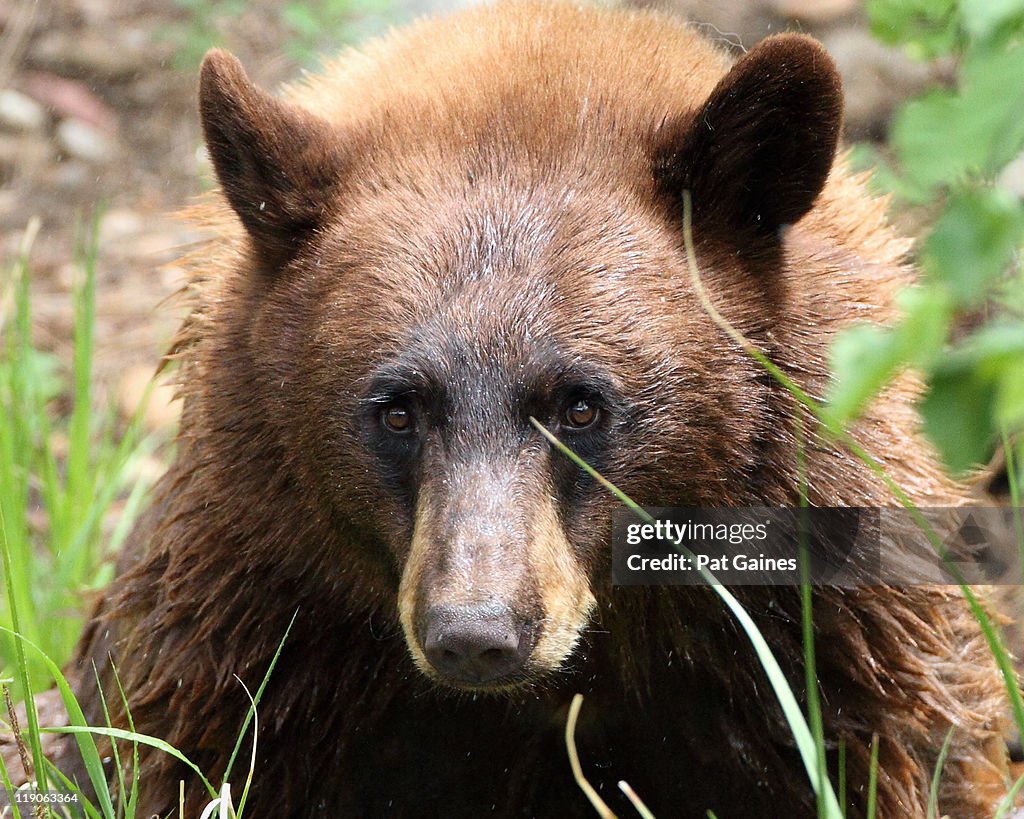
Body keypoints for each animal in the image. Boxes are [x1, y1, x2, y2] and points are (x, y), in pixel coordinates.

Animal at [59, 2, 1010, 817]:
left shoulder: (835, 628)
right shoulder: (252, 608)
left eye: (582, 405)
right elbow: (160, 752)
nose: (476, 633)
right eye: (395, 411)